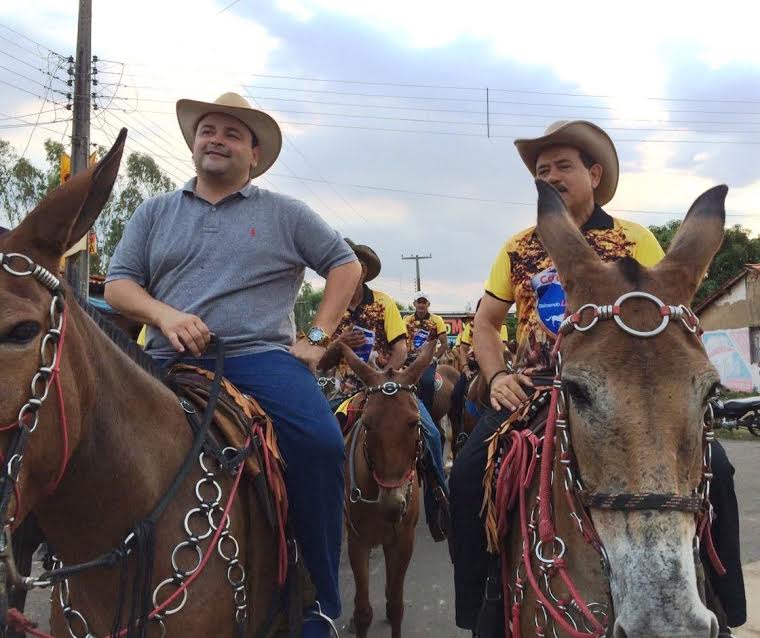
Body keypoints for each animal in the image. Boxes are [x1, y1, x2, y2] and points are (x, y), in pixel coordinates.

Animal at [342, 342, 436, 636]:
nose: (392, 505)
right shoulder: (357, 541)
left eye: (414, 423)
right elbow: (363, 611)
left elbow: (396, 606)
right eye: (367, 424)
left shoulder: (403, 540)